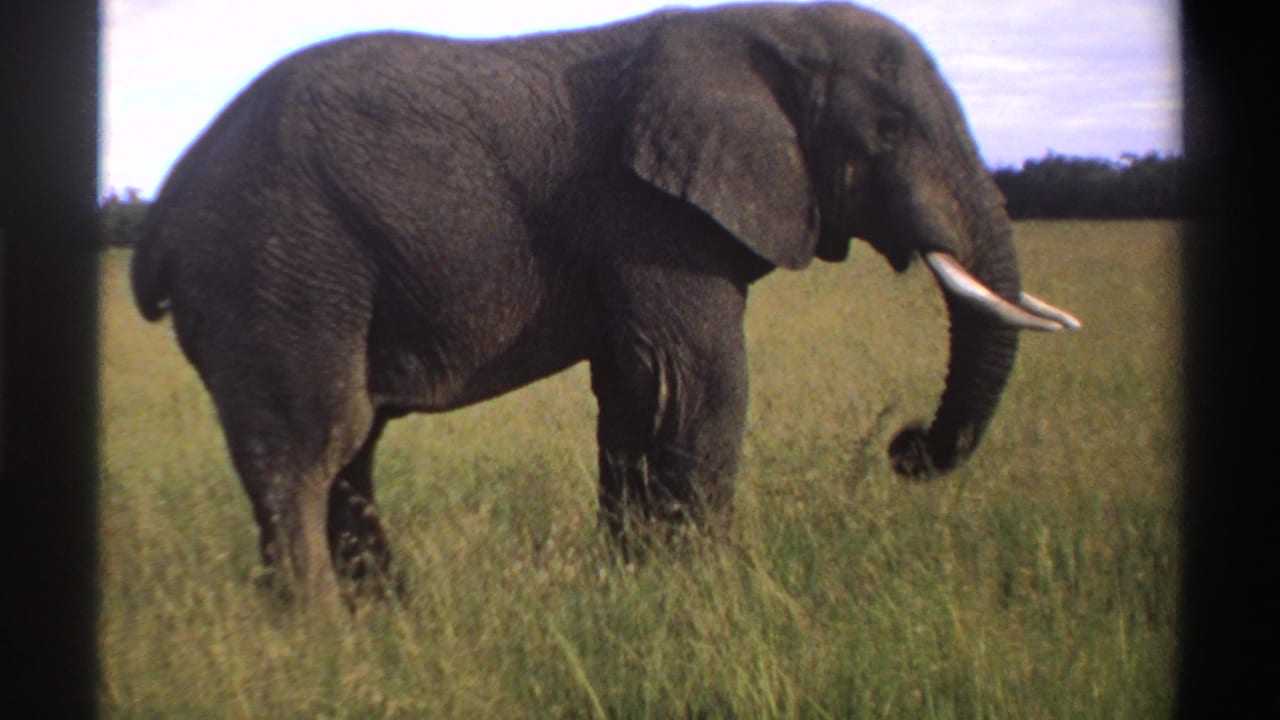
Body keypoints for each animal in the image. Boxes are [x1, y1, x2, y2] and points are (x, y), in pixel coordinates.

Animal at [131, 2, 1080, 607]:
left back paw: (388, 621)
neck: (765, 26)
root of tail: (164, 209)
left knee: (348, 454)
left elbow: (636, 393)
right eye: (887, 132)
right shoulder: (649, 212)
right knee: (309, 445)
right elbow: (699, 384)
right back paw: (322, 637)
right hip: (276, 264)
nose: (904, 446)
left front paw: (636, 584)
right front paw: (708, 595)